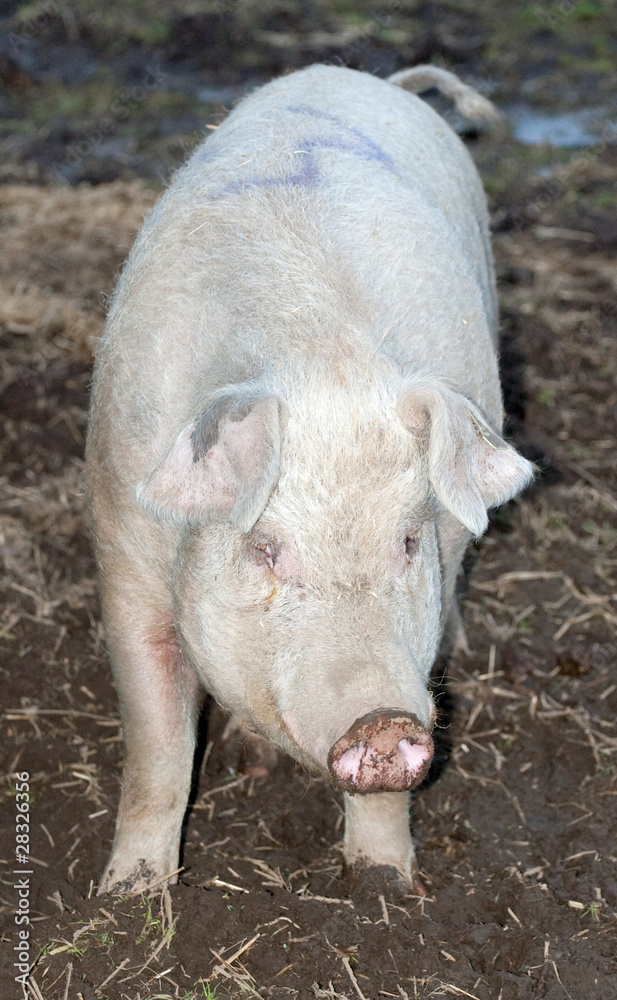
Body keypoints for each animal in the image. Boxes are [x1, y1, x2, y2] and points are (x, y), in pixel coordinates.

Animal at [86, 62, 536, 896]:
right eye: (264, 550)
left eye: (406, 543)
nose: (382, 723)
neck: (317, 357)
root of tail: (374, 78)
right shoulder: (121, 545)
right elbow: (157, 742)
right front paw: (130, 894)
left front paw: (384, 882)